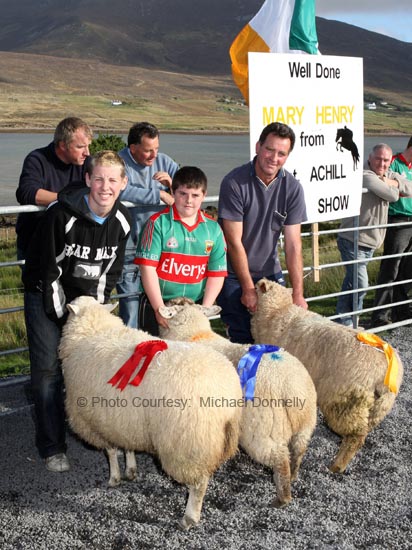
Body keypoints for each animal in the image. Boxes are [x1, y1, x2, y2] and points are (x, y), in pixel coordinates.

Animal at [58, 296, 241, 532]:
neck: (92, 331)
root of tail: (227, 393)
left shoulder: (97, 423)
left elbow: (110, 452)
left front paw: (114, 478)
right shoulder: (122, 419)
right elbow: (127, 447)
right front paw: (131, 470)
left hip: (186, 443)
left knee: (198, 484)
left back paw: (189, 518)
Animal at [159, 300, 318, 512]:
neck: (194, 334)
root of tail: (292, 386)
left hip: (262, 430)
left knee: (280, 459)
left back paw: (282, 498)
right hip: (305, 426)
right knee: (298, 452)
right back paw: (293, 477)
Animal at [249, 280, 404, 474]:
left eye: (255, 288)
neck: (277, 311)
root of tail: (386, 370)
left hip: (345, 402)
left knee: (355, 437)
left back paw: (337, 466)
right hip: (378, 408)